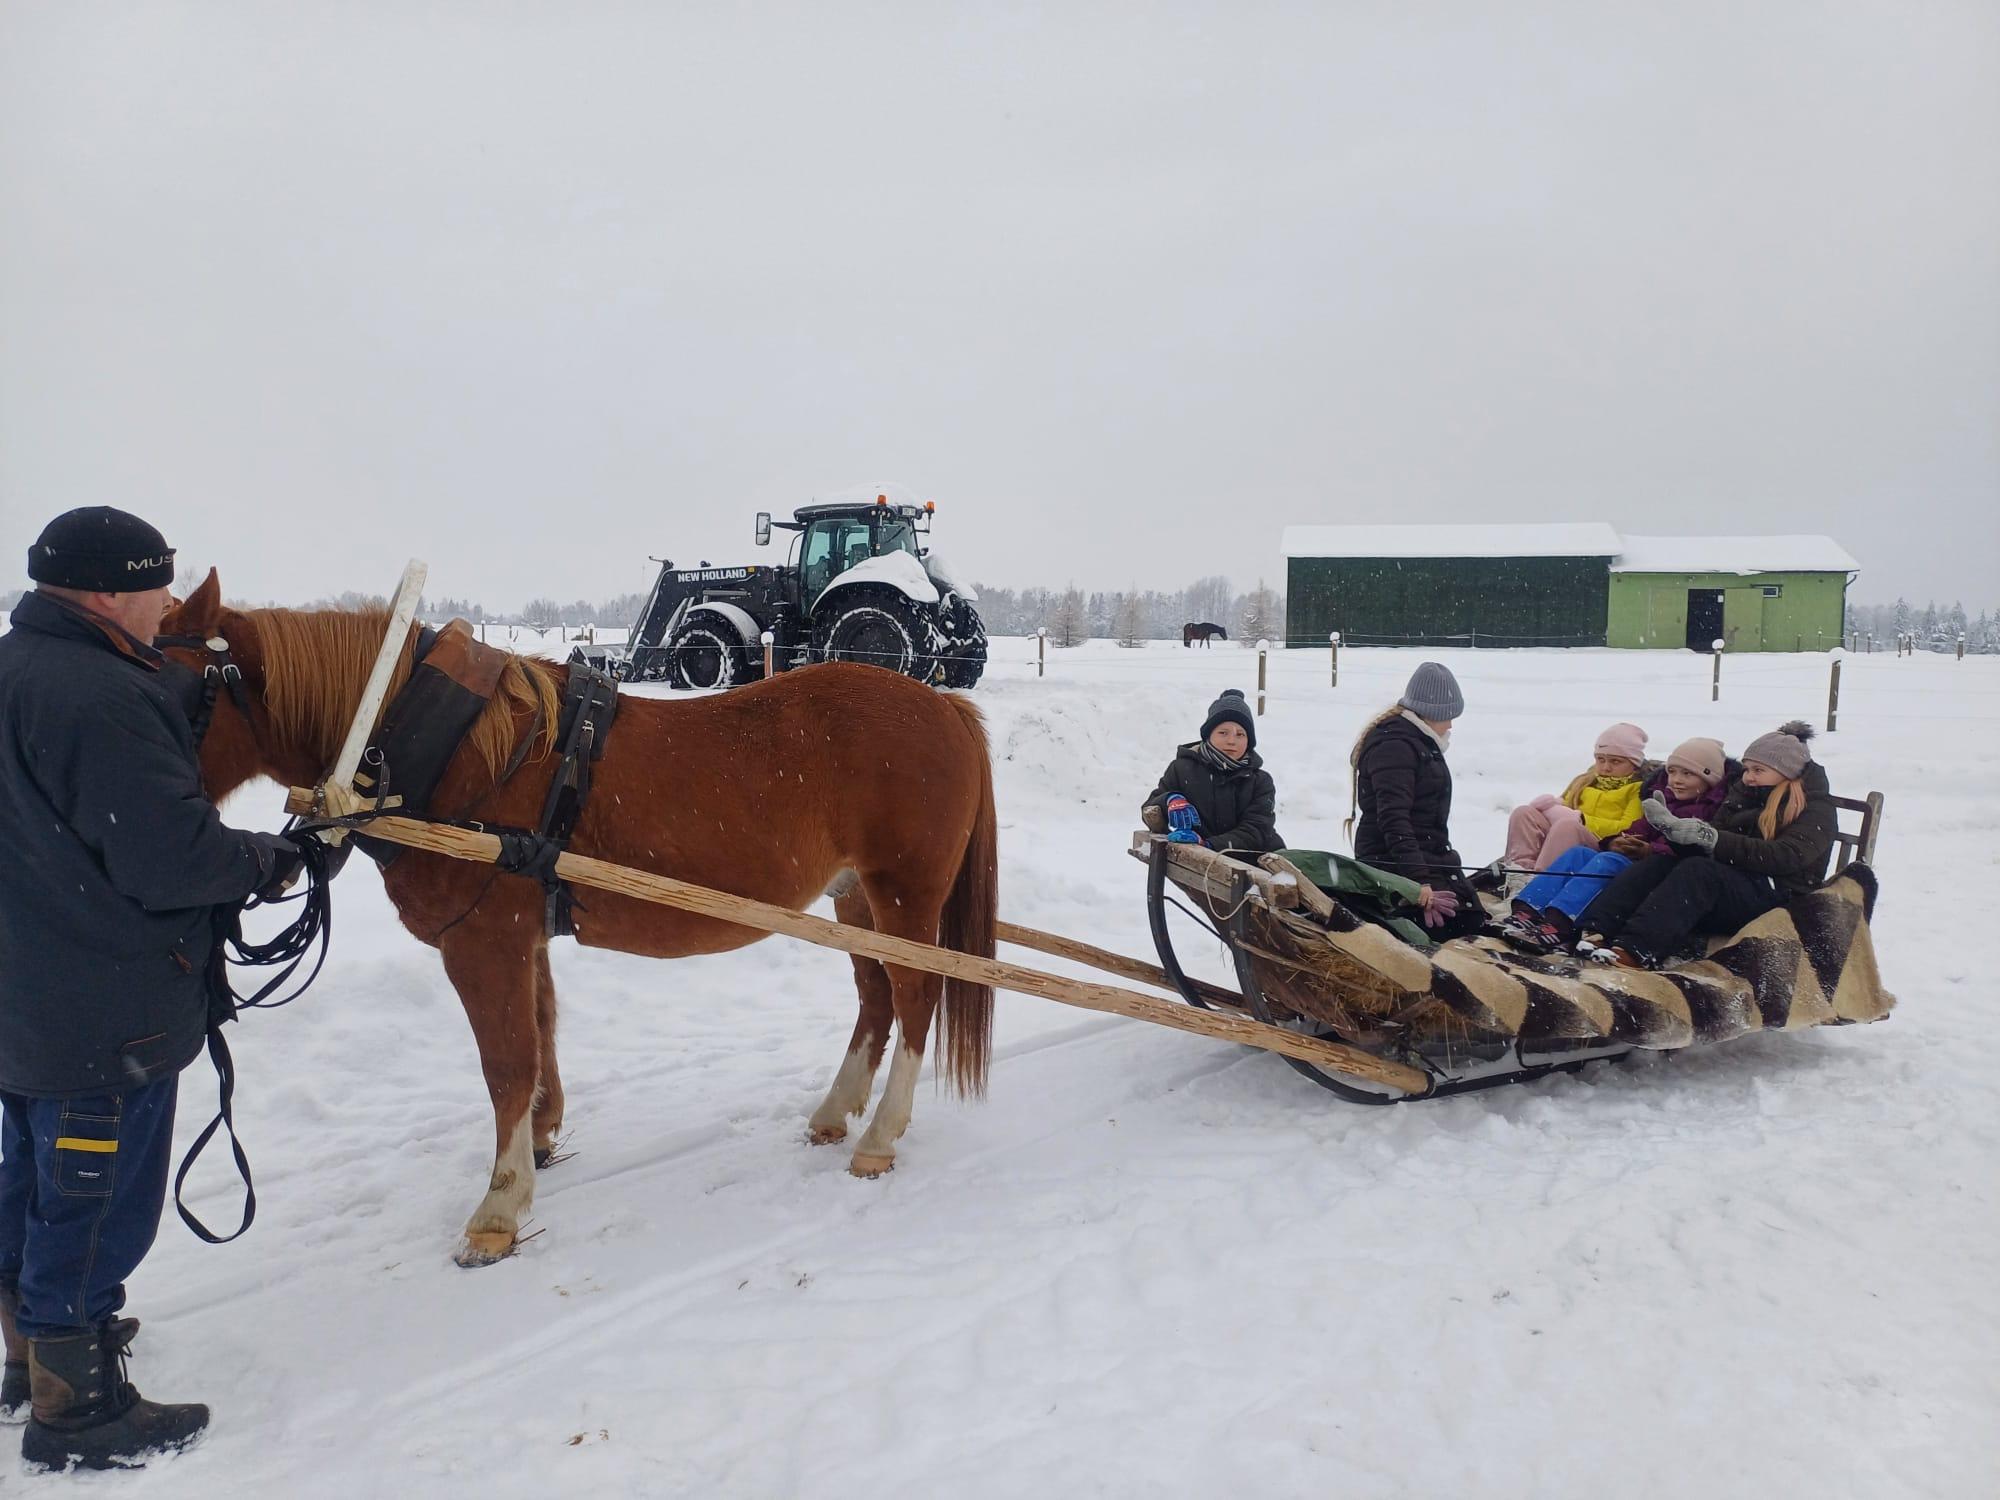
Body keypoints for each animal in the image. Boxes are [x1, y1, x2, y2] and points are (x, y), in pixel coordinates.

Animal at [160, 571, 997, 1266]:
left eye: (176, 689)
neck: (447, 747)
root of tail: (945, 706)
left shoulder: (482, 940)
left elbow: (506, 1064)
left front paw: (498, 1209)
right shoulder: (520, 936)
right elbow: (541, 1037)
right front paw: (540, 1143)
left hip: (903, 894)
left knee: (916, 997)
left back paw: (881, 1136)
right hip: (853, 899)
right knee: (876, 997)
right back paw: (836, 1111)